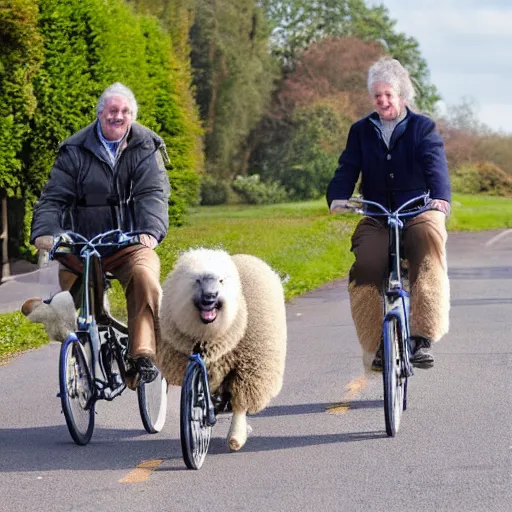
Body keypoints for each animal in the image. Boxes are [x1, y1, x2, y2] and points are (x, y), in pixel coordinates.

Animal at [159, 248, 288, 452]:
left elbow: (240, 405)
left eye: (221, 280)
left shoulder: (248, 370)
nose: (210, 297)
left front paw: (236, 436)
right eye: (197, 280)